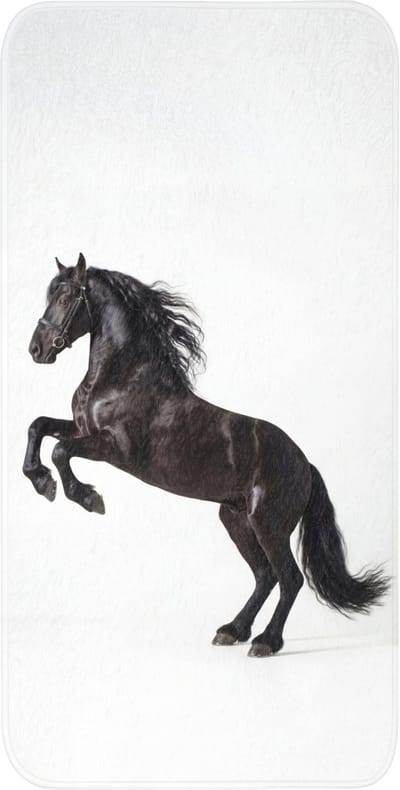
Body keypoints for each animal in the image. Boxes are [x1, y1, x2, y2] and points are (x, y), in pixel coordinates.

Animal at [23, 253, 389, 657]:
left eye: (66, 296)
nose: (37, 350)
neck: (121, 379)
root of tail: (305, 465)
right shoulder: (81, 429)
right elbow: (38, 427)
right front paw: (41, 482)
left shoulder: (114, 448)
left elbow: (60, 450)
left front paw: (88, 498)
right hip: (235, 519)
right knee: (265, 576)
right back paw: (232, 631)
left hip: (269, 523)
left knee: (289, 578)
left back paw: (265, 642)